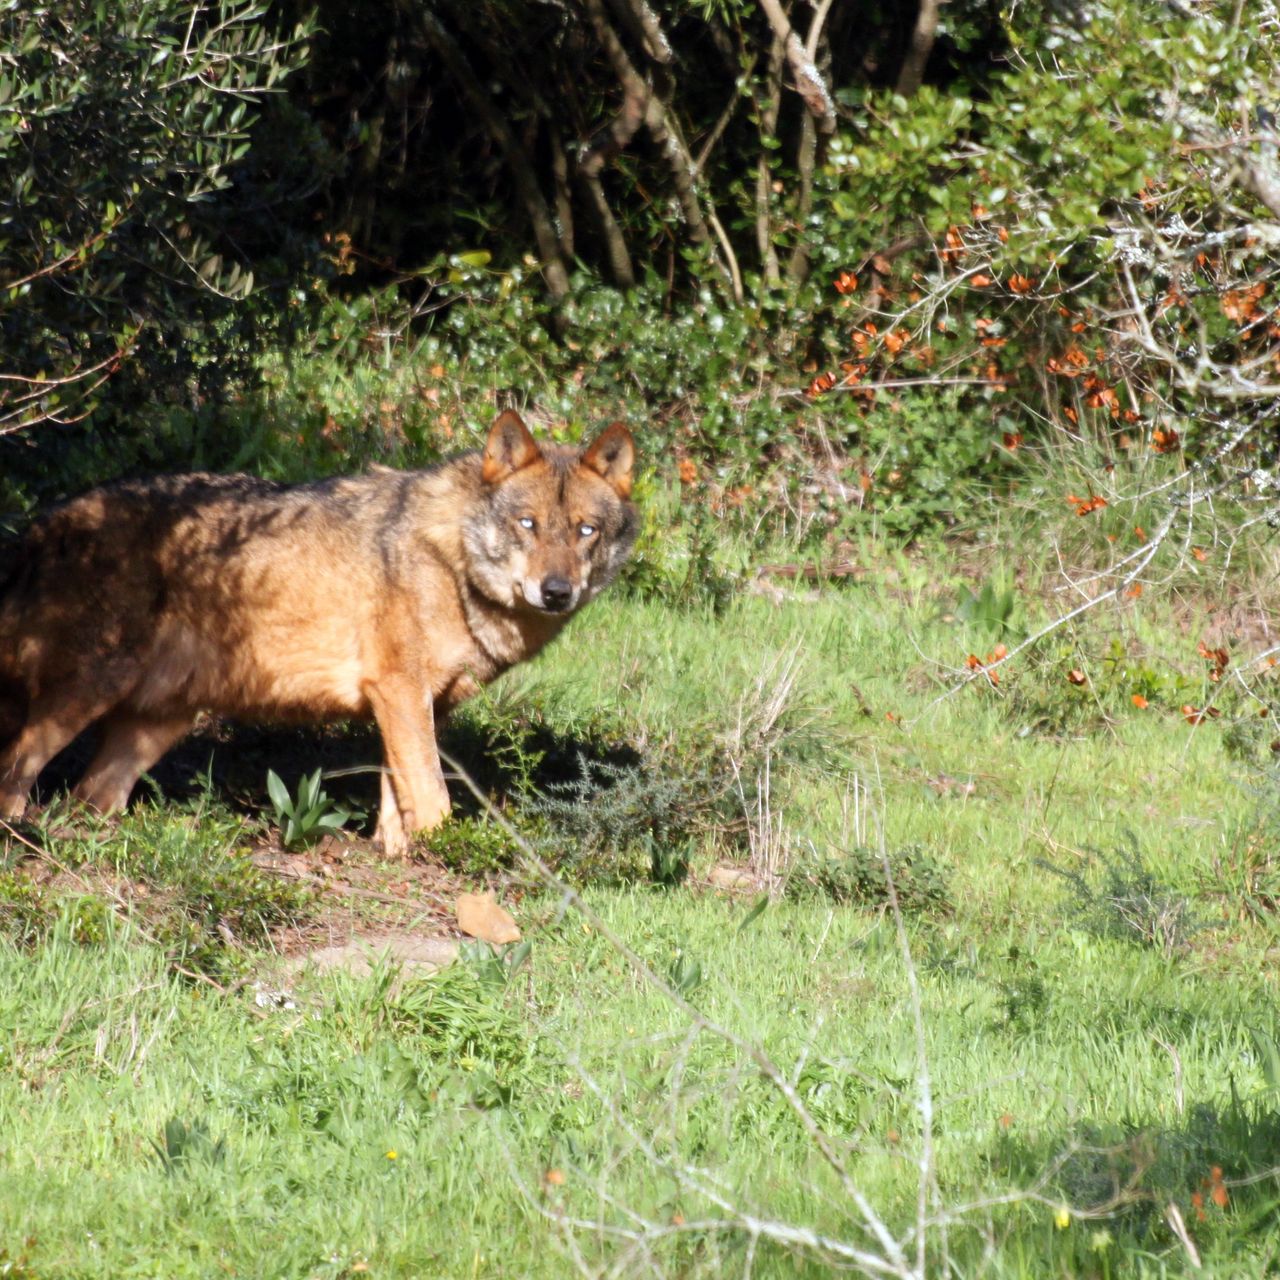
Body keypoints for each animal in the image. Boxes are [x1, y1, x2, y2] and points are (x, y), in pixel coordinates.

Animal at [0, 411, 637, 855]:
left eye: (585, 531)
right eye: (527, 524)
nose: (556, 592)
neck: (453, 561)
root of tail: (39, 525)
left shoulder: (412, 704)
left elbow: (399, 801)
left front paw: (395, 860)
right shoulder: (399, 692)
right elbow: (435, 801)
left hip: (152, 729)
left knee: (87, 798)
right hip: (85, 697)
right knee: (17, 769)